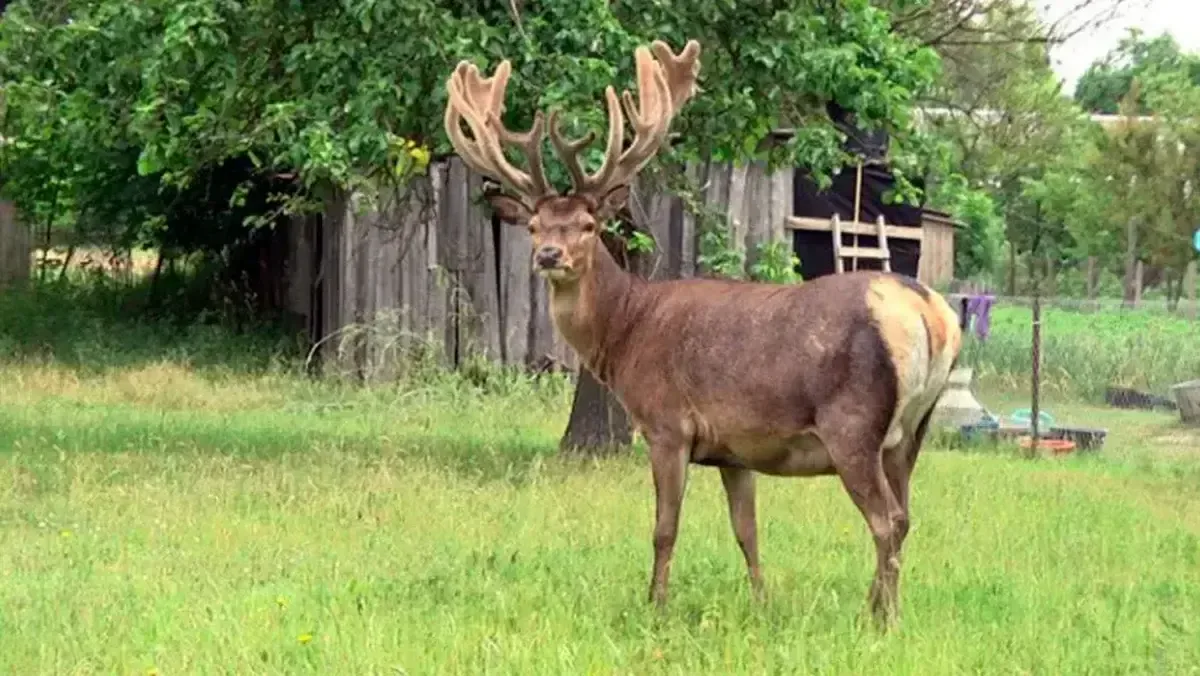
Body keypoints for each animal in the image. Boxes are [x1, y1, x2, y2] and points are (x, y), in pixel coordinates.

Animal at [442, 38, 963, 628]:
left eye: (589, 226)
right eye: (533, 225)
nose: (549, 255)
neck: (625, 331)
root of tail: (930, 313)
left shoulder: (667, 425)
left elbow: (664, 528)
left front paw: (655, 603)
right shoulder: (735, 450)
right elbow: (747, 531)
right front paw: (761, 602)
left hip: (852, 423)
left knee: (886, 519)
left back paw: (881, 617)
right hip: (912, 431)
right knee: (906, 515)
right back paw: (877, 605)